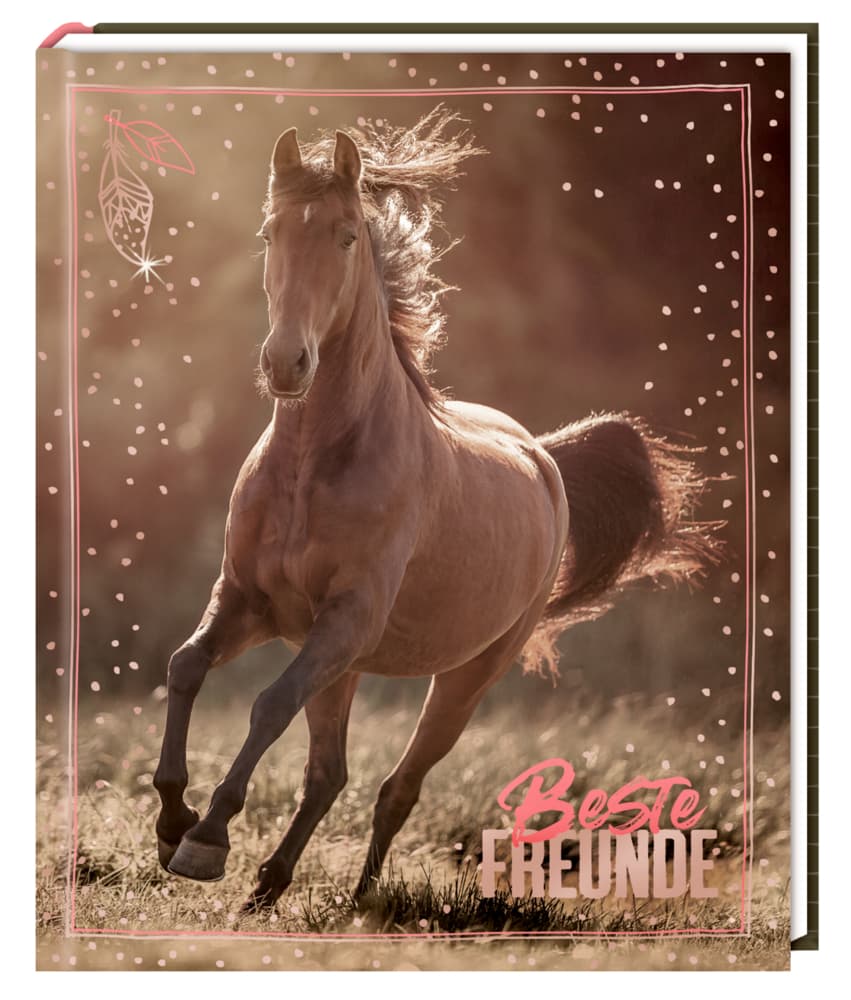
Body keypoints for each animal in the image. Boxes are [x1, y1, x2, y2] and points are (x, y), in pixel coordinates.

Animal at [152, 108, 717, 913]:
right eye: (268, 233)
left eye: (346, 235)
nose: (286, 364)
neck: (314, 466)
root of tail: (542, 455)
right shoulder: (250, 603)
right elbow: (186, 666)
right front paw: (173, 822)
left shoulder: (344, 620)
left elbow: (267, 704)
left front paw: (206, 839)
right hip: (345, 663)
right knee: (330, 775)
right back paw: (269, 887)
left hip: (463, 674)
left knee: (397, 787)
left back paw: (359, 902)